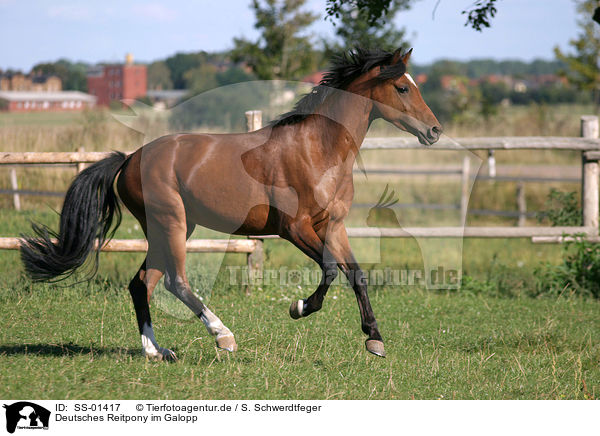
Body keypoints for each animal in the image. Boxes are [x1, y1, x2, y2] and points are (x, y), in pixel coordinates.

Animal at [19, 48, 440, 362]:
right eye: (402, 87)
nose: (435, 130)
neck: (317, 149)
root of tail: (129, 158)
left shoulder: (332, 226)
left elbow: (356, 274)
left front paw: (374, 339)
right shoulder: (294, 228)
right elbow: (330, 269)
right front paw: (299, 307)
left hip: (166, 228)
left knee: (142, 283)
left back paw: (157, 352)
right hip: (172, 223)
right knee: (174, 281)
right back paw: (223, 336)